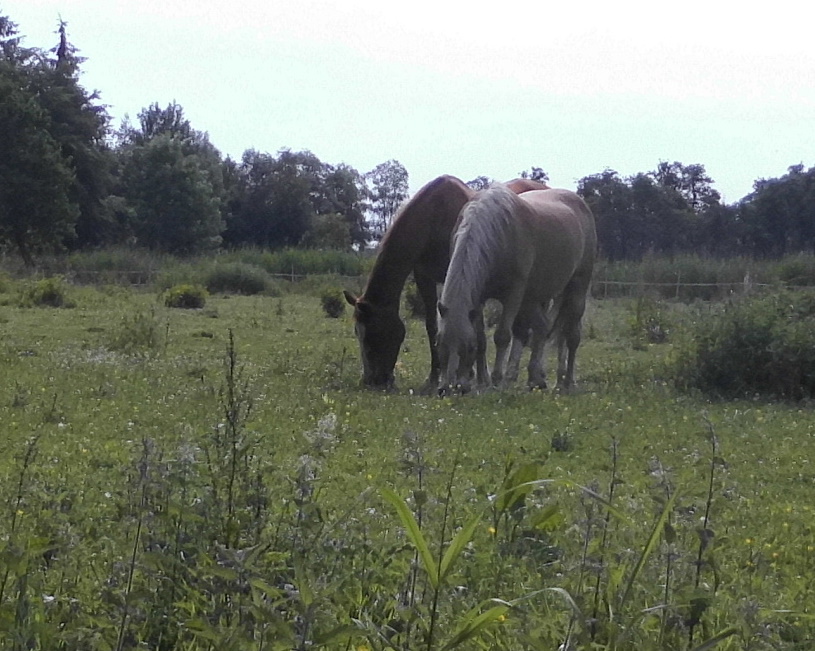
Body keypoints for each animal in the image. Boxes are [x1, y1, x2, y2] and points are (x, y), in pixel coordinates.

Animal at [343, 175, 548, 390]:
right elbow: (432, 326)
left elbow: (478, 332)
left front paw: (480, 377)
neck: (434, 215)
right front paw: (435, 376)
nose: (372, 380)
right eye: (357, 332)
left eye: (373, 335)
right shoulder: (424, 277)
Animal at [437, 184, 596, 393]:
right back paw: (536, 379)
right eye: (440, 344)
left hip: (576, 289)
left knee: (571, 335)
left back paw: (567, 381)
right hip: (534, 298)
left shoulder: (513, 295)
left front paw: (496, 380)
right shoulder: (478, 299)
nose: (448, 388)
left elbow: (502, 336)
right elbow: (482, 337)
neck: (497, 233)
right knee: (542, 327)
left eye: (468, 348)